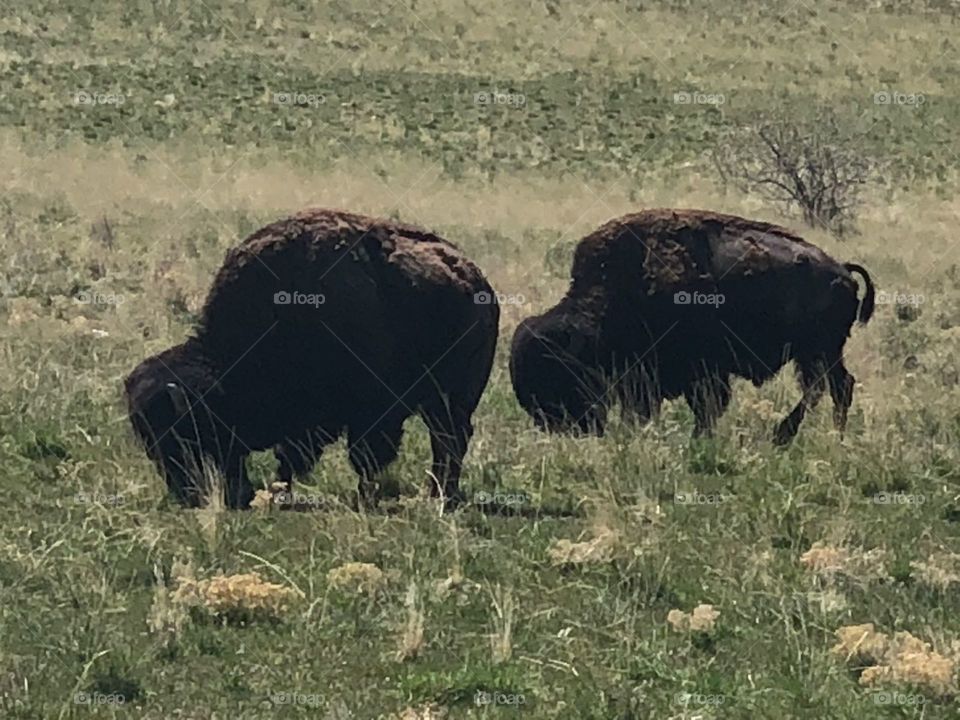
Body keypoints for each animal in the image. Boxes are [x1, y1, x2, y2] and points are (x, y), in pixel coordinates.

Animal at [126, 209, 499, 508]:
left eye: (183, 435)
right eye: (147, 442)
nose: (183, 494)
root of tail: (477, 280)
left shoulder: (371, 413)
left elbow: (363, 457)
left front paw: (363, 497)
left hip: (450, 399)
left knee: (449, 440)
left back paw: (440, 495)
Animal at [510, 209, 875, 443]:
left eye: (553, 371)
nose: (556, 426)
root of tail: (842, 271)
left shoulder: (693, 372)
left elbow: (704, 407)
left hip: (817, 350)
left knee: (828, 388)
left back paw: (789, 435)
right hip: (819, 352)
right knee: (834, 387)